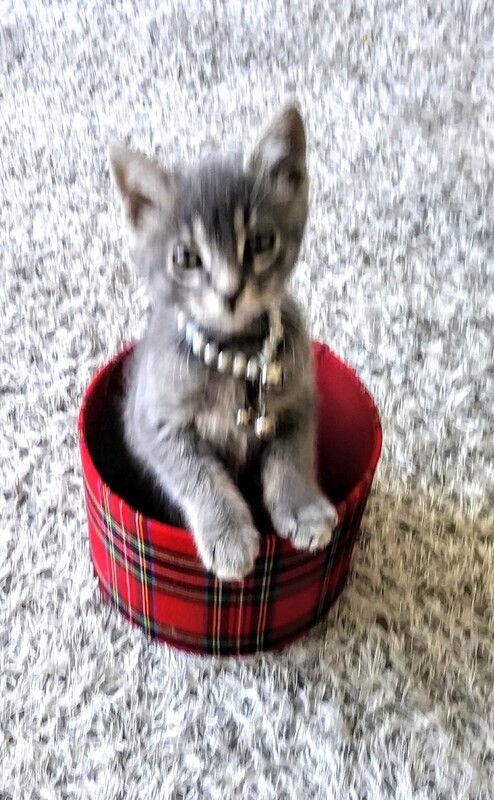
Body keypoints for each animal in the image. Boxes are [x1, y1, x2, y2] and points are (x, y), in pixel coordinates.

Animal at [109, 108, 338, 580]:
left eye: (261, 242)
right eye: (185, 257)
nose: (231, 292)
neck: (237, 351)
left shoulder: (299, 401)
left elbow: (293, 458)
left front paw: (302, 508)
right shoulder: (154, 423)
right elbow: (201, 476)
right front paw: (228, 534)